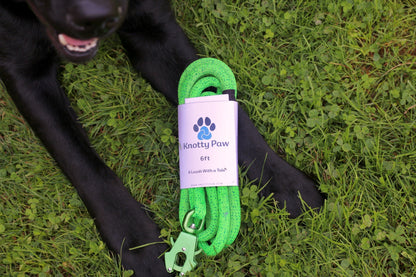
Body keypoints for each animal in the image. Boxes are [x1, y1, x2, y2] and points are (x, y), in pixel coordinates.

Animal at [0, 0, 324, 274]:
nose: (96, 16)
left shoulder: (155, 29)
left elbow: (233, 117)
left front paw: (289, 185)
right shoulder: (23, 72)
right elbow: (81, 161)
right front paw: (136, 241)